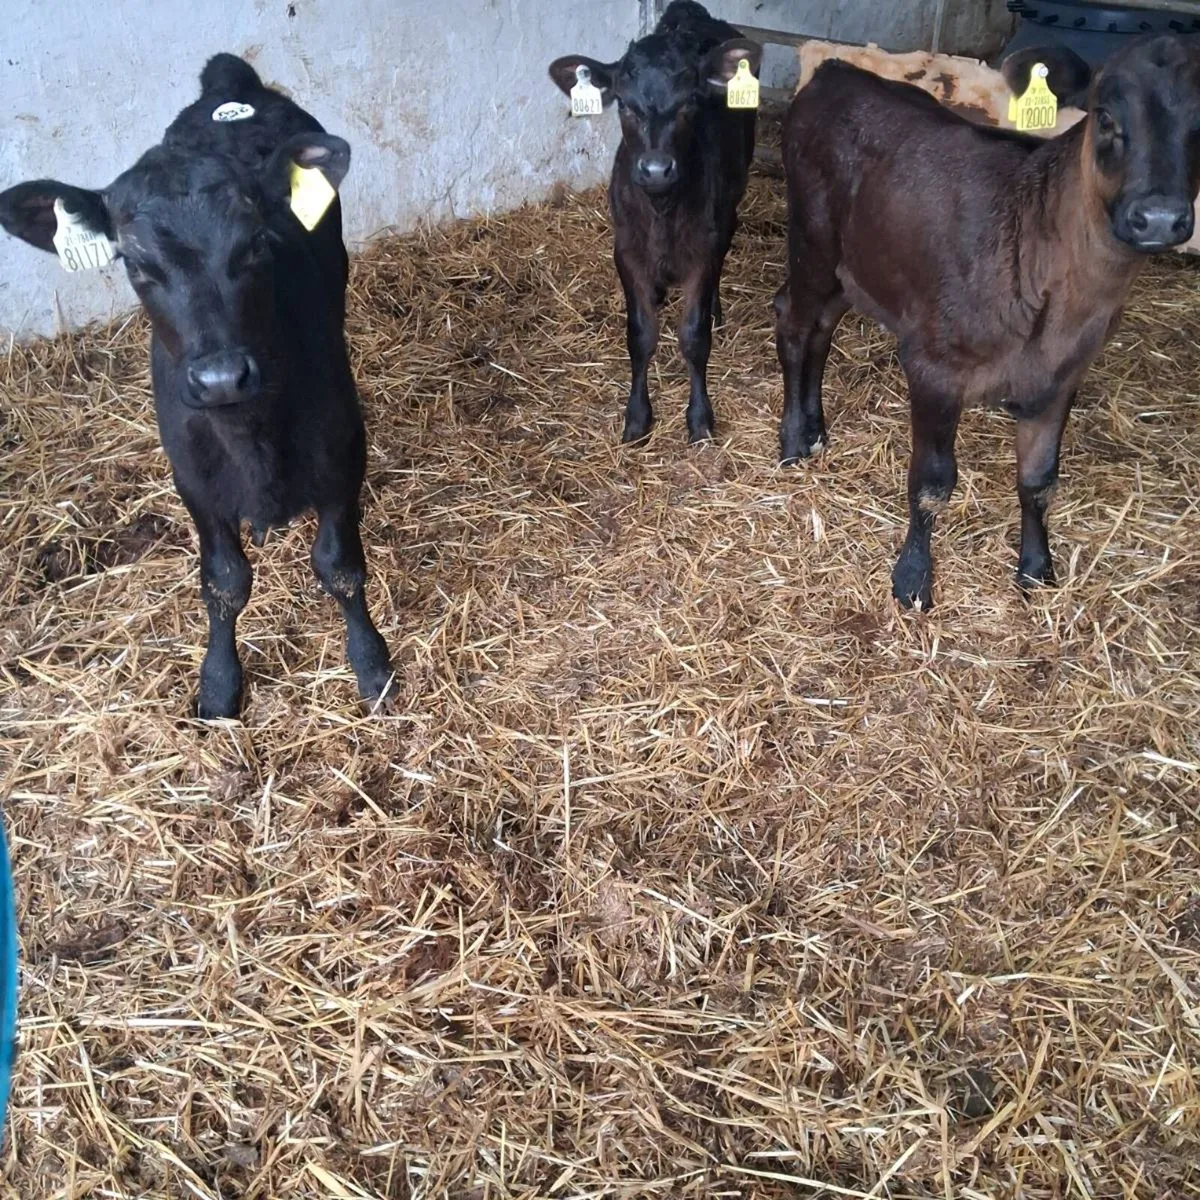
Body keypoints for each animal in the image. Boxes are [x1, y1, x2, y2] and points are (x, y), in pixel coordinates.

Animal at [0, 54, 395, 717]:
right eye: (135, 265)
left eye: (258, 242)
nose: (219, 378)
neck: (250, 437)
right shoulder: (193, 478)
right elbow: (224, 582)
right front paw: (218, 684)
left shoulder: (343, 452)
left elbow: (340, 567)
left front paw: (371, 664)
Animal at [549, 1, 761, 444]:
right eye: (624, 104)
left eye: (689, 102)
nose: (656, 169)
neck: (662, 208)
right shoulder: (627, 252)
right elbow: (640, 335)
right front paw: (636, 417)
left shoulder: (702, 251)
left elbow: (694, 337)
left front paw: (699, 418)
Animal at [774, 35, 1200, 609]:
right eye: (1106, 116)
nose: (1158, 218)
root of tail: (836, 70)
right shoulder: (932, 366)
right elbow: (932, 484)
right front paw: (912, 579)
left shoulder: (1062, 377)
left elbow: (1039, 482)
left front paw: (1037, 568)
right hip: (812, 244)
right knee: (793, 323)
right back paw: (794, 440)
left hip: (856, 267)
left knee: (820, 328)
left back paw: (816, 427)